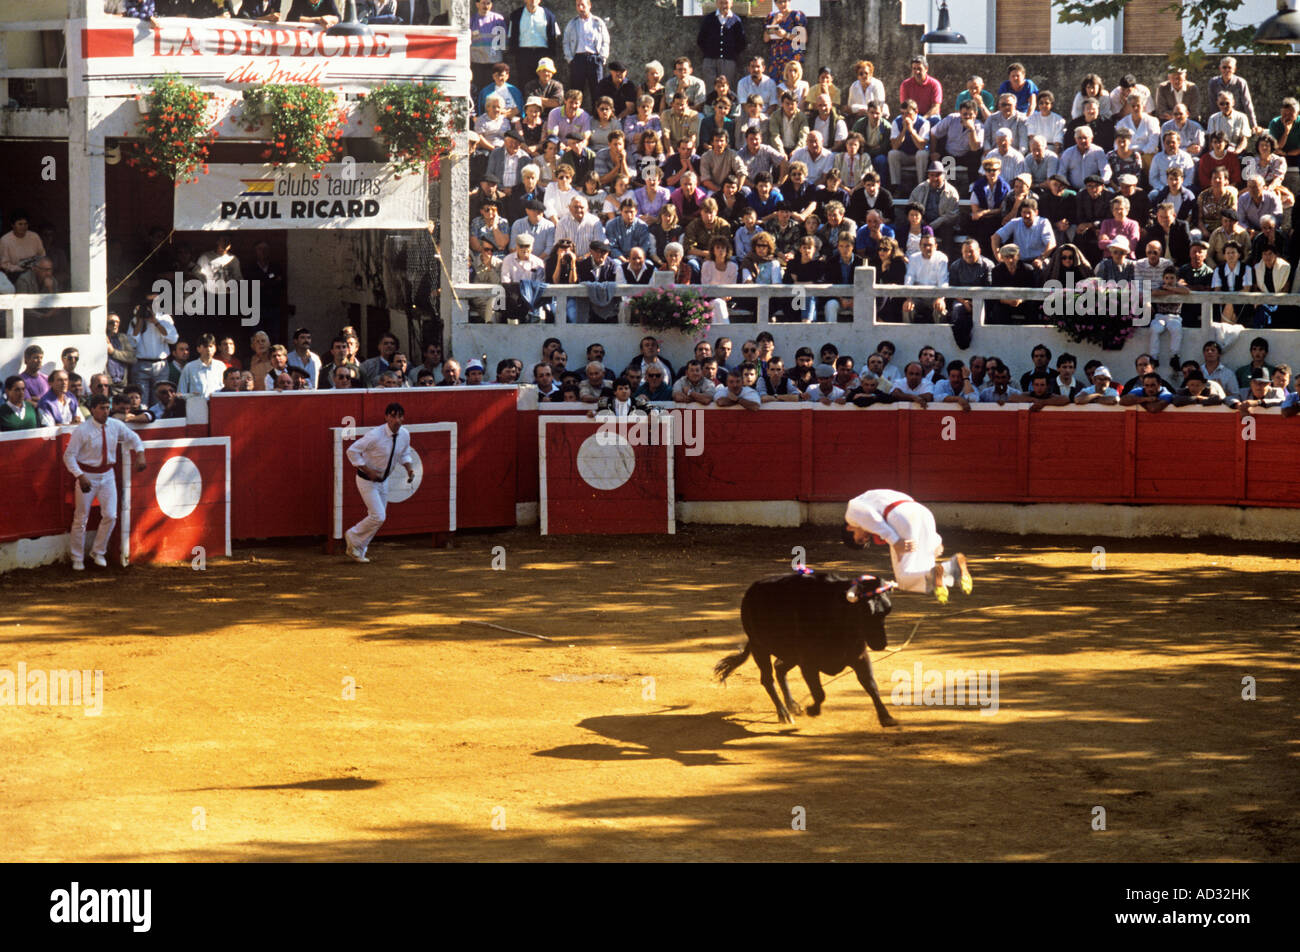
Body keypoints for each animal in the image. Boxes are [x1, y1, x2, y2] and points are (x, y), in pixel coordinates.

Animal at [717, 569, 899, 723]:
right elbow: (819, 693)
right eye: (864, 611)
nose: (881, 643)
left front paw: (886, 717)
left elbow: (871, 685)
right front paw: (812, 709)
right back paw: (784, 713)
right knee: (767, 679)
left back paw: (792, 705)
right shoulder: (808, 663)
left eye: (886, 611)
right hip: (759, 648)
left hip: (789, 654)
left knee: (779, 668)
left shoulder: (860, 657)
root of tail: (750, 593)